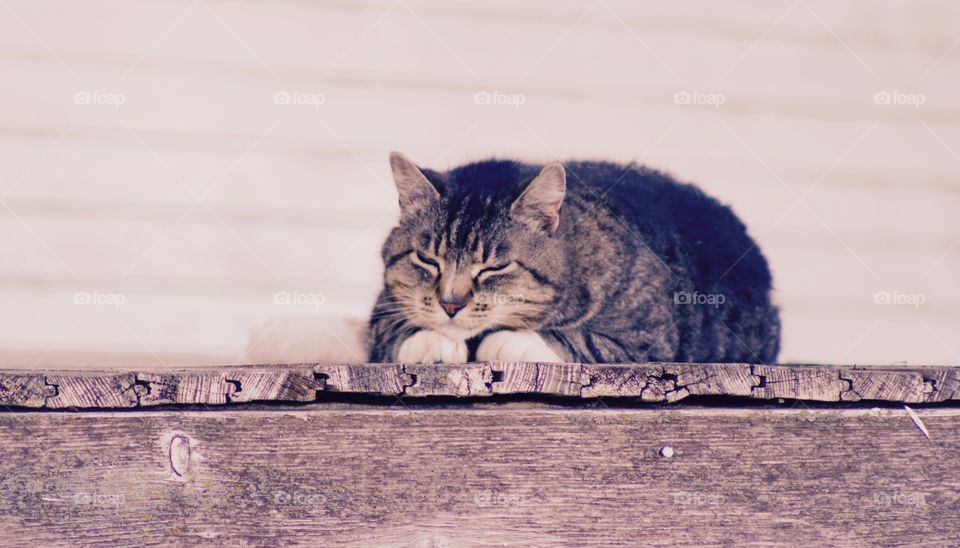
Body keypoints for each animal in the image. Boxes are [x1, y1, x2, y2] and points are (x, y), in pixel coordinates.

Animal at [368, 151, 780, 364]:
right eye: (427, 259)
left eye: (495, 267)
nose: (450, 304)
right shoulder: (382, 311)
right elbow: (392, 331)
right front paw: (433, 342)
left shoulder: (649, 342)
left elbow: (580, 340)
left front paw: (504, 342)